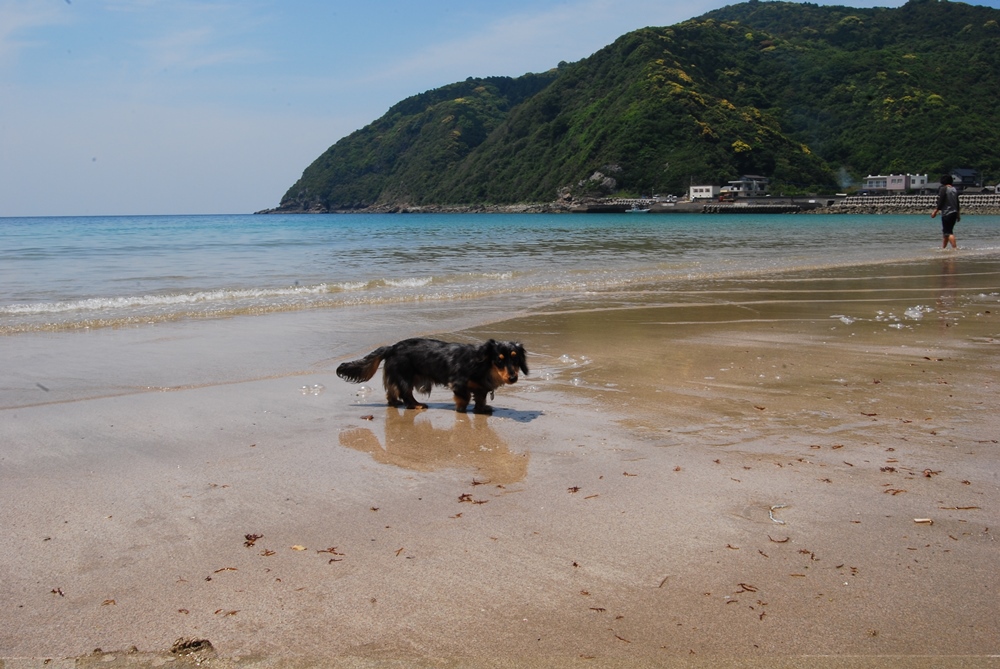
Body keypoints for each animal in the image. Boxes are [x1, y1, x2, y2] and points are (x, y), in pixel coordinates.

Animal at [336, 340, 528, 412]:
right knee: (406, 394)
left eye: (515, 358)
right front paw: (461, 409)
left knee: (392, 393)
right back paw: (416, 405)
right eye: (499, 360)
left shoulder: (480, 387)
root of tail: (392, 347)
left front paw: (482, 409)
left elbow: (480, 398)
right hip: (406, 377)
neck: (482, 364)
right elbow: (464, 397)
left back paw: (395, 403)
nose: (513, 378)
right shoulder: (457, 383)